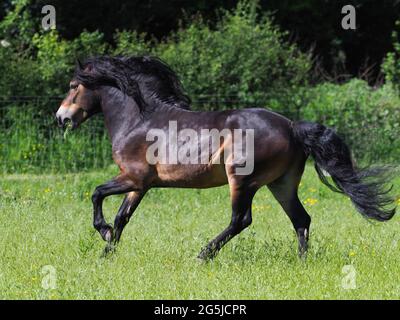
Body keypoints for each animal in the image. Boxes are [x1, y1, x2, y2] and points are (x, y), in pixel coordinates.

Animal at [56, 55, 396, 260]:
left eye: (73, 86)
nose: (61, 118)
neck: (139, 119)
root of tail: (291, 126)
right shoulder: (141, 185)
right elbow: (122, 217)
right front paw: (107, 252)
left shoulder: (133, 177)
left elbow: (96, 194)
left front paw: (102, 233)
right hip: (282, 184)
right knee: (301, 219)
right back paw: (301, 261)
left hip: (242, 181)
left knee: (241, 220)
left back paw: (203, 254)